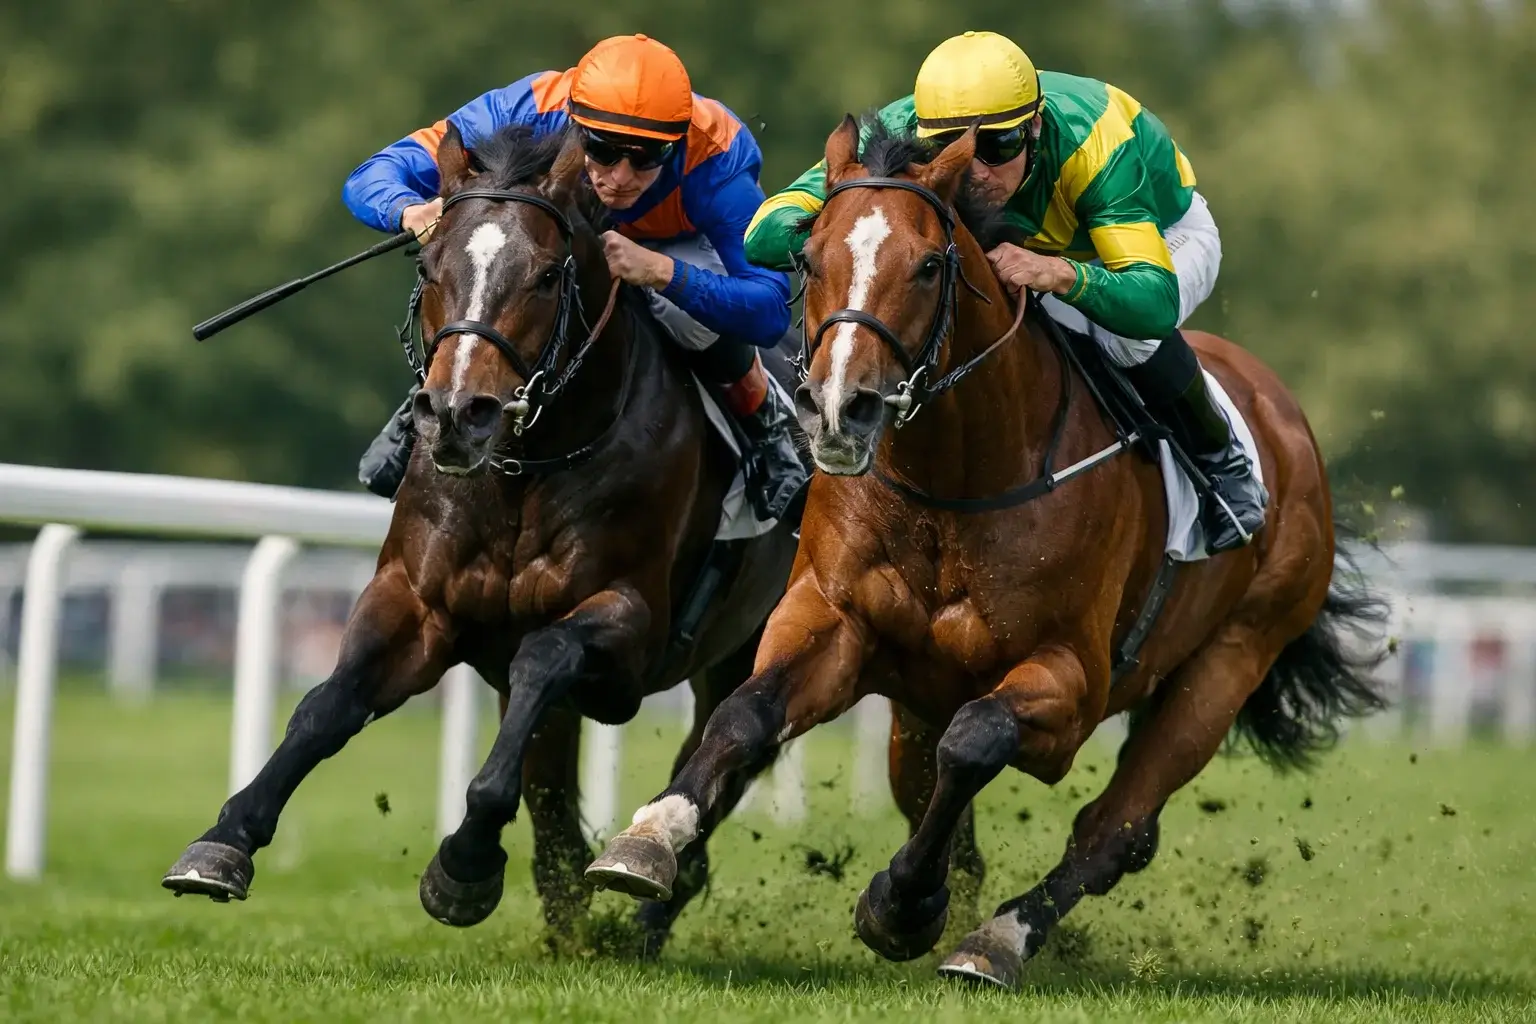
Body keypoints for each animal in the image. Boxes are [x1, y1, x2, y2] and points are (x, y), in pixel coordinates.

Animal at [162, 122, 800, 955]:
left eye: (548, 275)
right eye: (428, 265)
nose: (456, 414)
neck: (524, 467)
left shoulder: (629, 630)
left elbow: (544, 660)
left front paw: (465, 861)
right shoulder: (417, 599)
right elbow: (326, 707)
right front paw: (224, 840)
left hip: (751, 648)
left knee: (721, 749)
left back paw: (644, 885)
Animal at [585, 116, 1385, 986]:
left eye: (929, 265)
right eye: (808, 257)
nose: (839, 410)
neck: (958, 478)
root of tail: (1286, 418)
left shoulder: (1072, 682)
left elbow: (977, 741)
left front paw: (902, 904)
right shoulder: (834, 617)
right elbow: (747, 711)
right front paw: (646, 839)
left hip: (1228, 664)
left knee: (1112, 830)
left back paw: (998, 937)